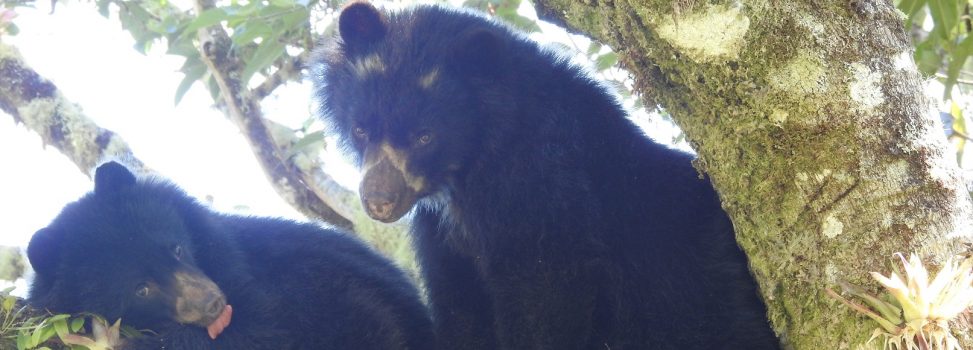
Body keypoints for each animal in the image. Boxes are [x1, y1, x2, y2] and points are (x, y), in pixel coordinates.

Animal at [314, 1, 784, 348]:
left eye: (425, 137)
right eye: (361, 129)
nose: (378, 201)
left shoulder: (543, 183)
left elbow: (547, 283)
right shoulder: (443, 235)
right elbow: (460, 302)